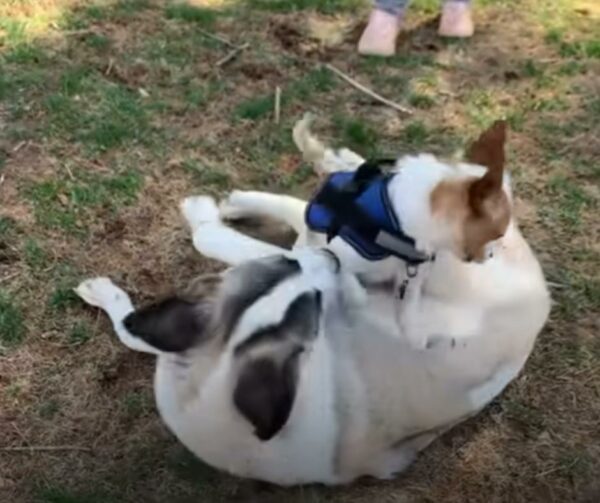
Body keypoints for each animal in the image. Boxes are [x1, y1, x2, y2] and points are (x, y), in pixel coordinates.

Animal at [77, 119, 552, 488]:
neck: (387, 208)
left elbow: (214, 240)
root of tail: (542, 298)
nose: (488, 255)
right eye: (491, 234)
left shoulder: (311, 260)